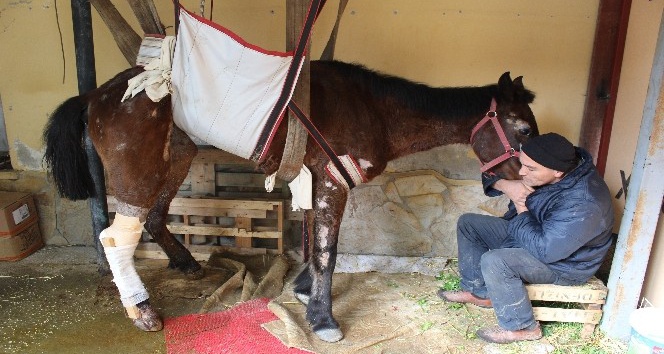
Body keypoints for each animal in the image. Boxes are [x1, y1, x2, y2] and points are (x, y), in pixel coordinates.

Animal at [44, 60, 536, 340]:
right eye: (524, 129)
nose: (529, 187)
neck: (374, 109)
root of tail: (98, 94)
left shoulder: (316, 179)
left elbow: (311, 240)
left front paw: (302, 290)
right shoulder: (334, 182)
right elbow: (327, 251)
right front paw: (323, 318)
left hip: (175, 158)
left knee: (156, 216)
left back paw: (184, 262)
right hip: (138, 170)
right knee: (117, 238)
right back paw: (142, 311)